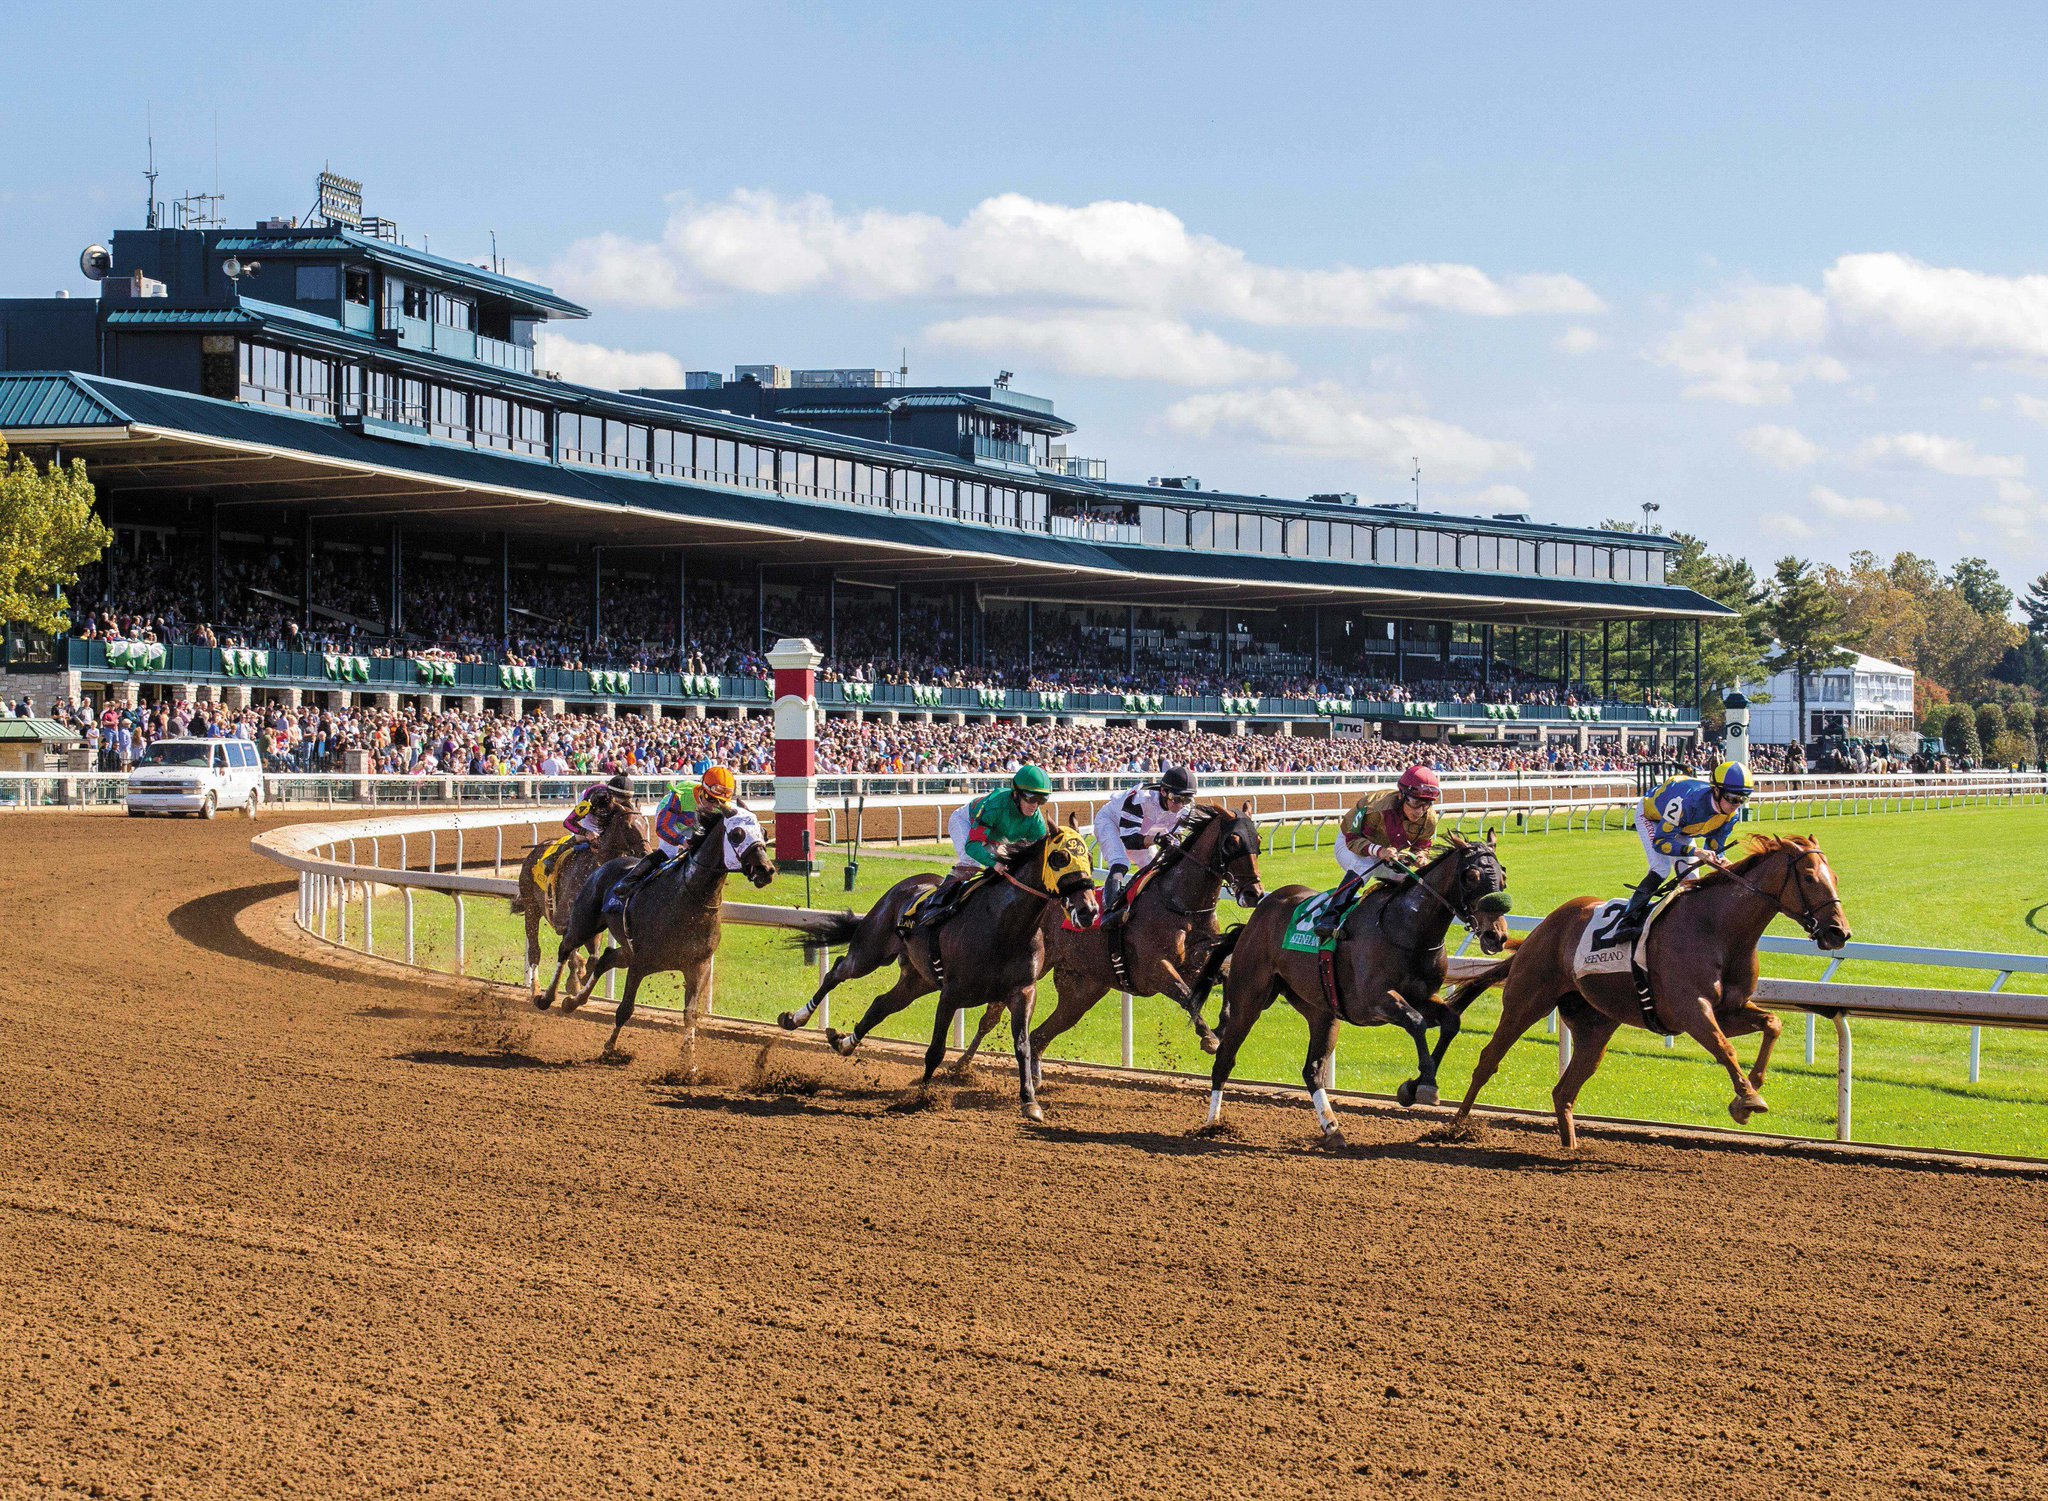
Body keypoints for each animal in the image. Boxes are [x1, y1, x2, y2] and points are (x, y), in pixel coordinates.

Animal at [512, 794, 647, 995]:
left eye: (646, 824)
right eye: (628, 826)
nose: (648, 853)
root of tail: (533, 852)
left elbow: (593, 957)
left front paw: (581, 976)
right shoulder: (564, 921)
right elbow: (571, 953)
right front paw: (574, 982)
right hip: (531, 907)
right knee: (535, 951)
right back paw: (535, 988)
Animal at [536, 806, 774, 1056]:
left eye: (763, 832)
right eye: (737, 834)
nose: (766, 870)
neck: (689, 897)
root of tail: (604, 865)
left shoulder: (698, 966)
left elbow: (691, 1014)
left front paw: (688, 1061)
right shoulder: (640, 963)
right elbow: (625, 1009)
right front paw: (610, 1047)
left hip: (627, 950)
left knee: (605, 959)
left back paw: (573, 1001)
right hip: (585, 923)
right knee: (565, 948)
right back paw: (547, 997)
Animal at [954, 806, 1261, 1081]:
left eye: (1256, 840)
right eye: (1233, 841)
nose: (1253, 892)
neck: (1181, 905)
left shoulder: (1197, 961)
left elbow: (1224, 975)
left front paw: (1223, 1025)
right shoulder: (1155, 969)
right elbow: (1186, 996)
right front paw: (1209, 1038)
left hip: (1083, 990)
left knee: (1039, 1035)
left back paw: (1033, 1075)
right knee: (992, 1017)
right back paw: (961, 1065)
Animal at [1441, 831, 1859, 1146]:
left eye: (1837, 877)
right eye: (1810, 878)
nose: (1839, 932)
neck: (1719, 930)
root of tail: (1540, 931)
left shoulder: (1729, 1010)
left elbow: (1773, 1023)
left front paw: (1749, 1091)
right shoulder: (1692, 1010)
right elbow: (1724, 1047)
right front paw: (1749, 1098)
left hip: (1595, 1025)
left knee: (1565, 1089)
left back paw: (1570, 1146)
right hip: (1527, 1001)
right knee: (1488, 1060)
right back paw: (1457, 1128)